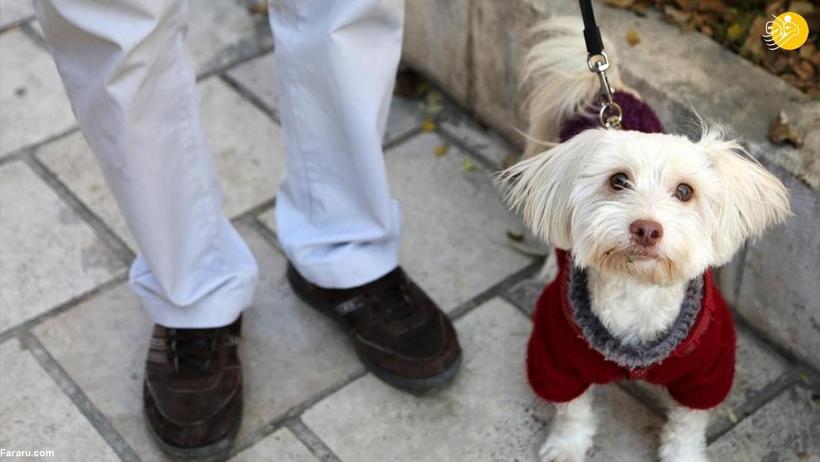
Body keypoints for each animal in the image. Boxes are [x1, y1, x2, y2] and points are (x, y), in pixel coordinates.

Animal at [502, 16, 792, 460]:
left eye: (685, 191)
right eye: (618, 181)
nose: (646, 229)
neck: (638, 295)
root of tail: (607, 92)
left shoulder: (708, 369)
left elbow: (688, 424)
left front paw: (683, 455)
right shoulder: (555, 353)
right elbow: (572, 409)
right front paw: (567, 446)